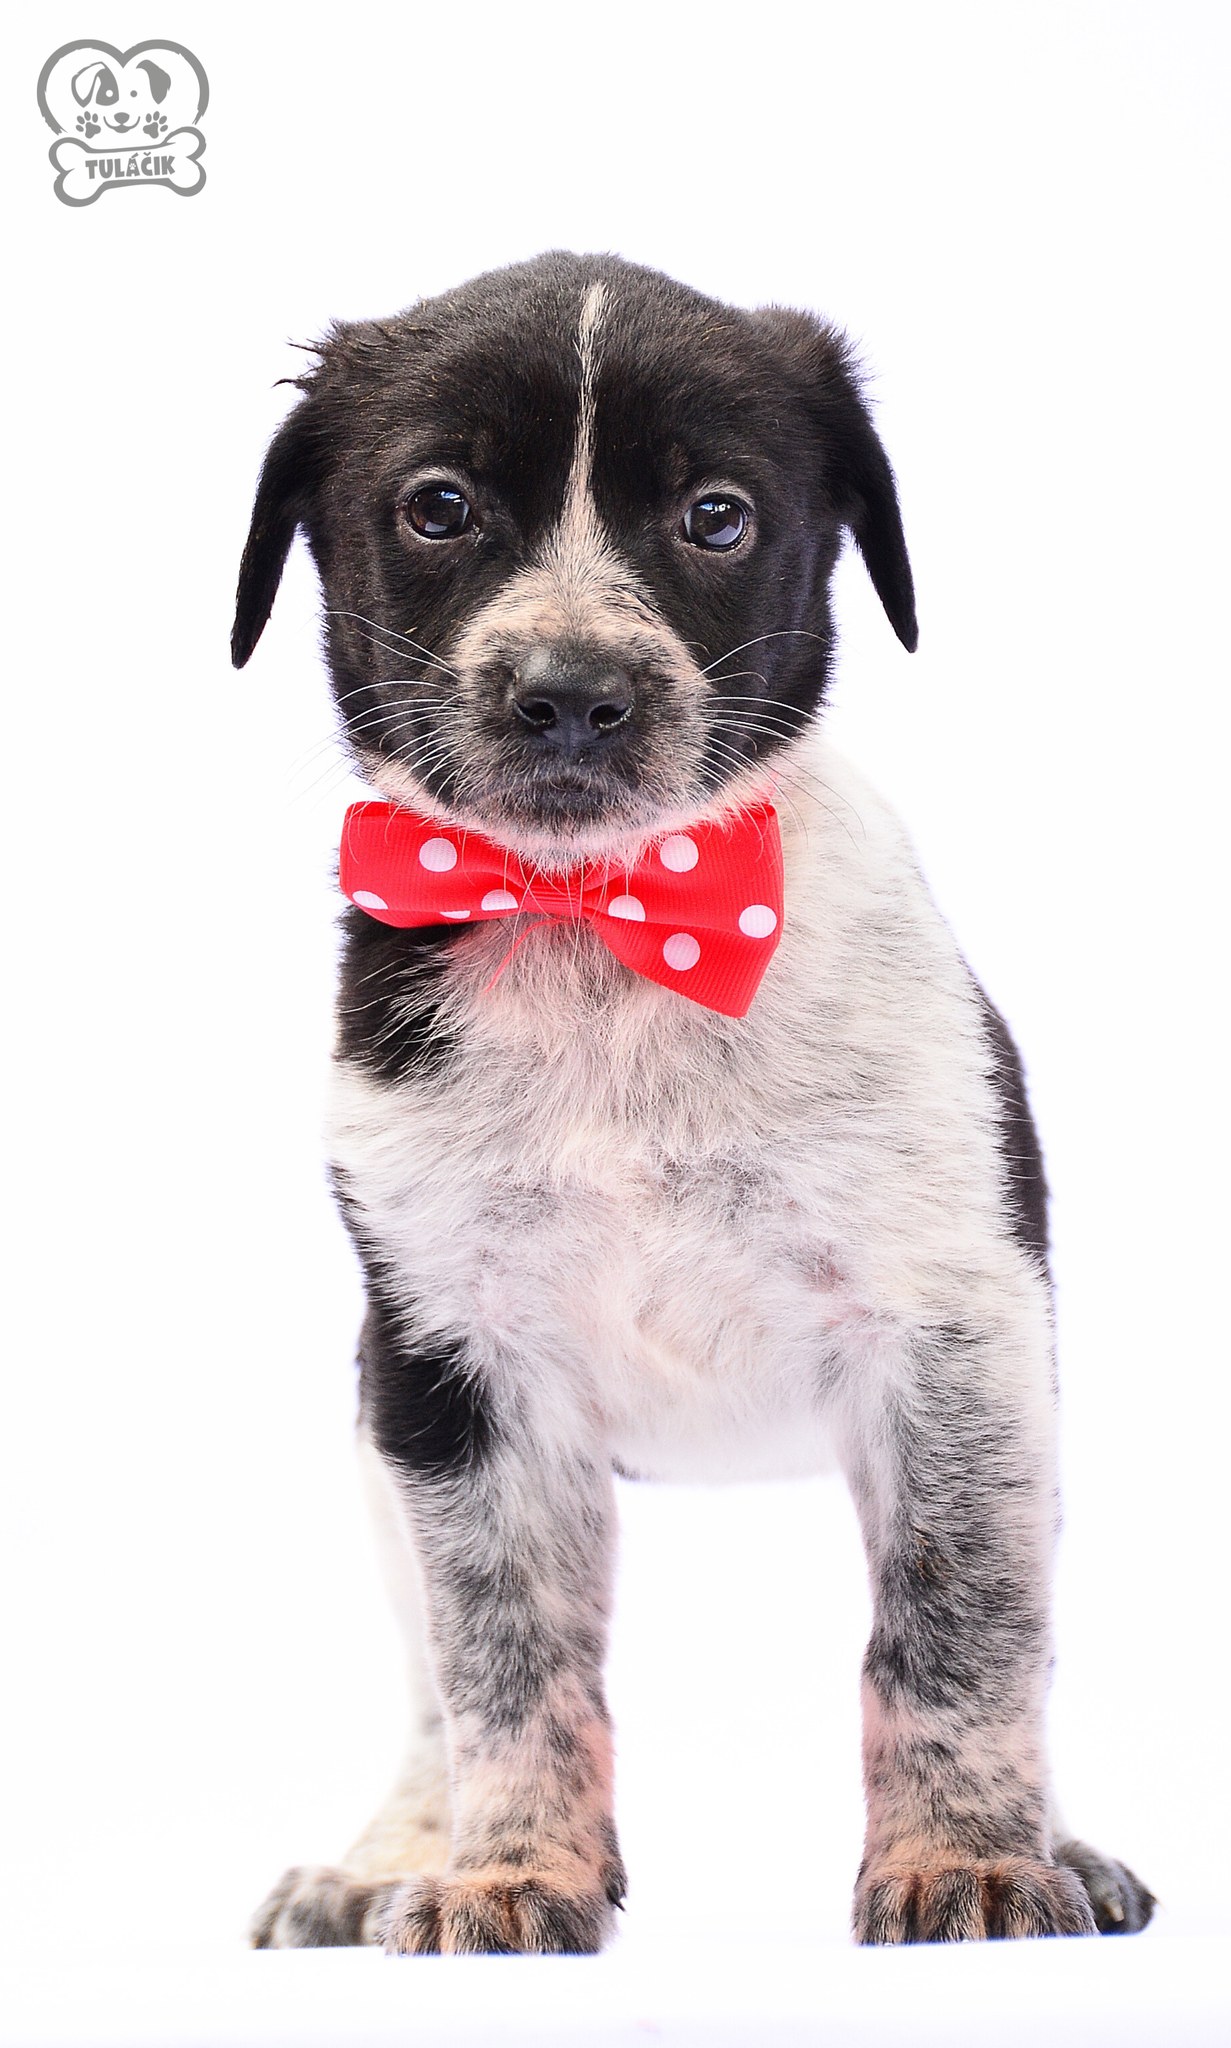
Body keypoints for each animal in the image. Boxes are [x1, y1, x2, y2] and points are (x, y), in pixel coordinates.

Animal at [232, 251, 1154, 1953]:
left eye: (714, 516)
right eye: (439, 506)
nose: (570, 696)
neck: (609, 930)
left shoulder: (955, 1339)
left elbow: (954, 1624)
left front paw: (969, 1858)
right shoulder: (453, 1373)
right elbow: (500, 1657)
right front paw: (508, 1872)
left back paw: (1059, 1843)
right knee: (428, 1690)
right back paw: (391, 1855)